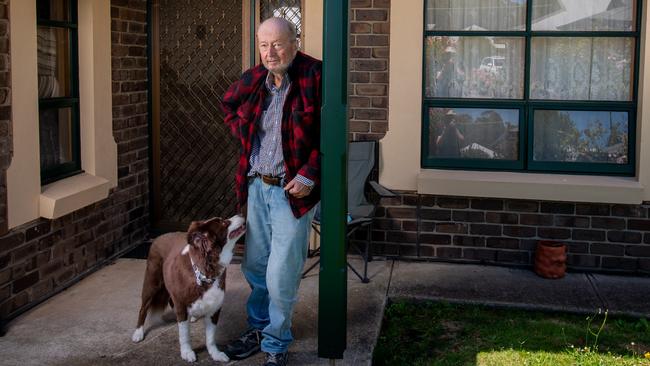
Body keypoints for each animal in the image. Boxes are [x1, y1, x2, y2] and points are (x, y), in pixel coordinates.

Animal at [130, 216, 244, 362]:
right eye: (224, 222)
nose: (241, 214)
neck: (205, 272)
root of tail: (159, 237)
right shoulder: (181, 304)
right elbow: (184, 334)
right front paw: (187, 352)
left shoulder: (215, 307)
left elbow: (210, 337)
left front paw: (215, 354)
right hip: (152, 281)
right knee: (143, 308)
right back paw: (138, 333)